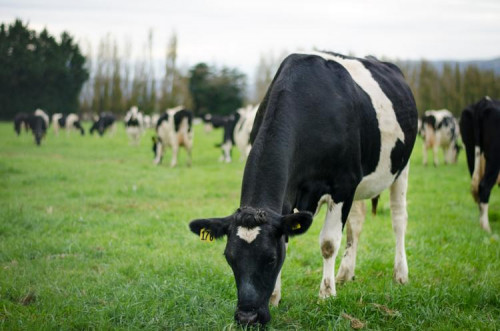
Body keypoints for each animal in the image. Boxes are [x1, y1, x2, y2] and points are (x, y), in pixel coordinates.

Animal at [189, 52, 420, 326]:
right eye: (229, 258)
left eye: (270, 258)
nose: (247, 317)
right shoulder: (291, 199)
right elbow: (288, 239)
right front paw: (275, 297)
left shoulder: (343, 185)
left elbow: (329, 243)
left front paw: (327, 295)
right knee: (356, 224)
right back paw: (346, 273)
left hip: (401, 169)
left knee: (399, 219)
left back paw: (400, 274)